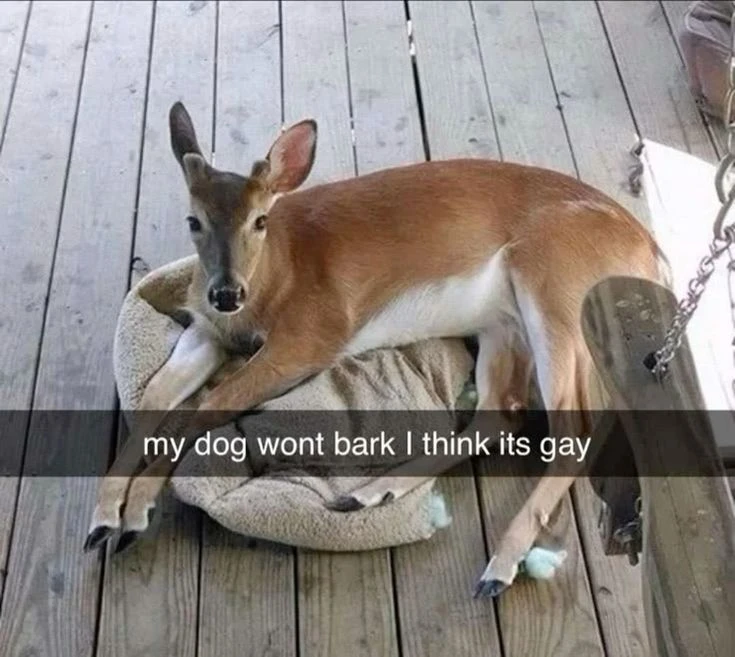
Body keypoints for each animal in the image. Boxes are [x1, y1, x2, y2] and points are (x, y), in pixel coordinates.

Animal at [84, 101, 665, 597]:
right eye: (194, 221)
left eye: (259, 220)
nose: (226, 292)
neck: (277, 277)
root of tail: (651, 253)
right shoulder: (209, 330)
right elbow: (156, 394)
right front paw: (105, 516)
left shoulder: (314, 334)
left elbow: (205, 404)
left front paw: (134, 513)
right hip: (503, 322)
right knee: (503, 412)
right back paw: (368, 493)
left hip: (556, 284)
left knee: (573, 428)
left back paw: (498, 568)